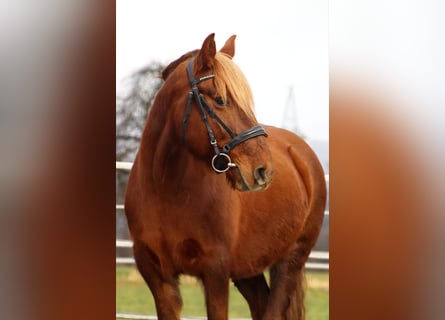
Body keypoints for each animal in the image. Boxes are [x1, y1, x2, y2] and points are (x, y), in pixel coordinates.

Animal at [125, 33, 326, 318]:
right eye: (220, 100)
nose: (263, 170)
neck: (165, 190)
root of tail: (300, 152)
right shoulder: (158, 277)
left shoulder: (216, 273)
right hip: (248, 269)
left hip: (289, 261)